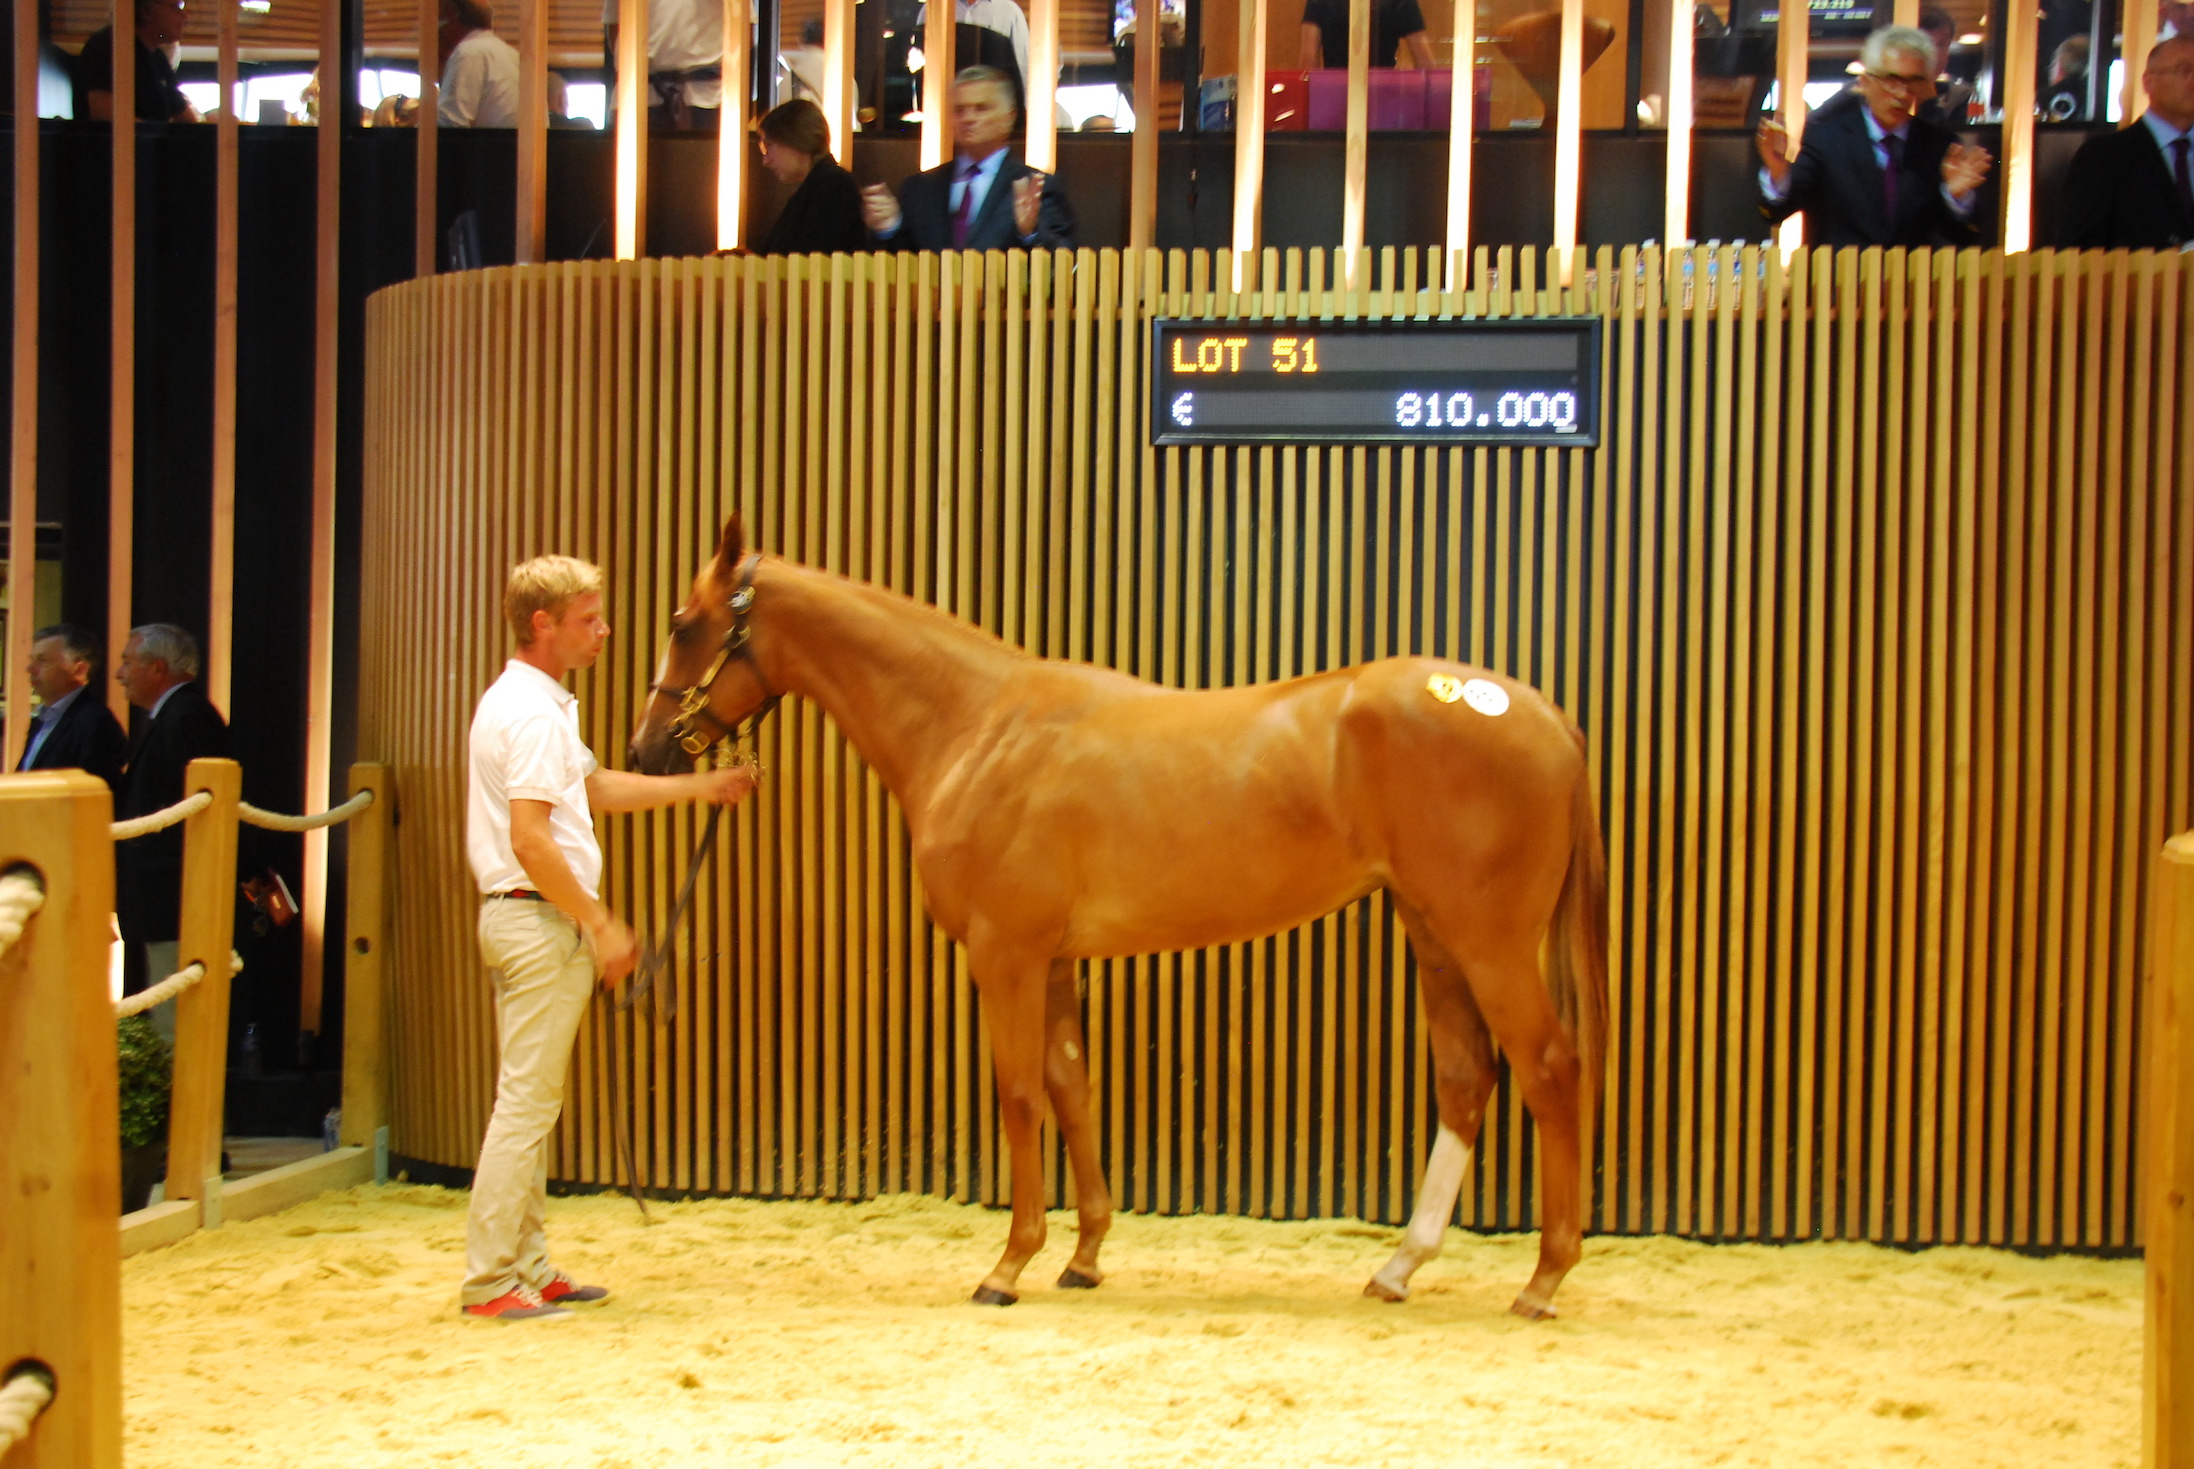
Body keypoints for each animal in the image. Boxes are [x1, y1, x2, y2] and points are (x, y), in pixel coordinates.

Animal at [627, 521, 1606, 1324]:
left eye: (683, 621)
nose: (646, 750)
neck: (975, 726)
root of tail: (1542, 712)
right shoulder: (1057, 961)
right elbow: (1073, 1089)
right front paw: (1085, 1256)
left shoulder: (1006, 954)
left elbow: (1021, 1094)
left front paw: (1008, 1265)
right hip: (1434, 933)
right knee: (1467, 1078)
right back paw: (1400, 1267)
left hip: (1489, 942)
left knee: (1550, 1070)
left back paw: (1543, 1279)